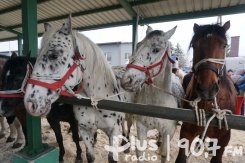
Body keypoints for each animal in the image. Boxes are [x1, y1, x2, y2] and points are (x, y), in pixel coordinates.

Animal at [23, 14, 136, 162]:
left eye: (54, 55)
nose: (30, 103)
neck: (97, 99)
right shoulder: (84, 130)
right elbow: (89, 155)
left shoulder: (113, 132)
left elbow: (112, 158)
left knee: (128, 124)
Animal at [120, 26, 184, 162]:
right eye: (138, 45)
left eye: (156, 49)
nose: (127, 80)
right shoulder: (141, 127)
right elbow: (140, 152)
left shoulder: (169, 132)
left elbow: (164, 154)